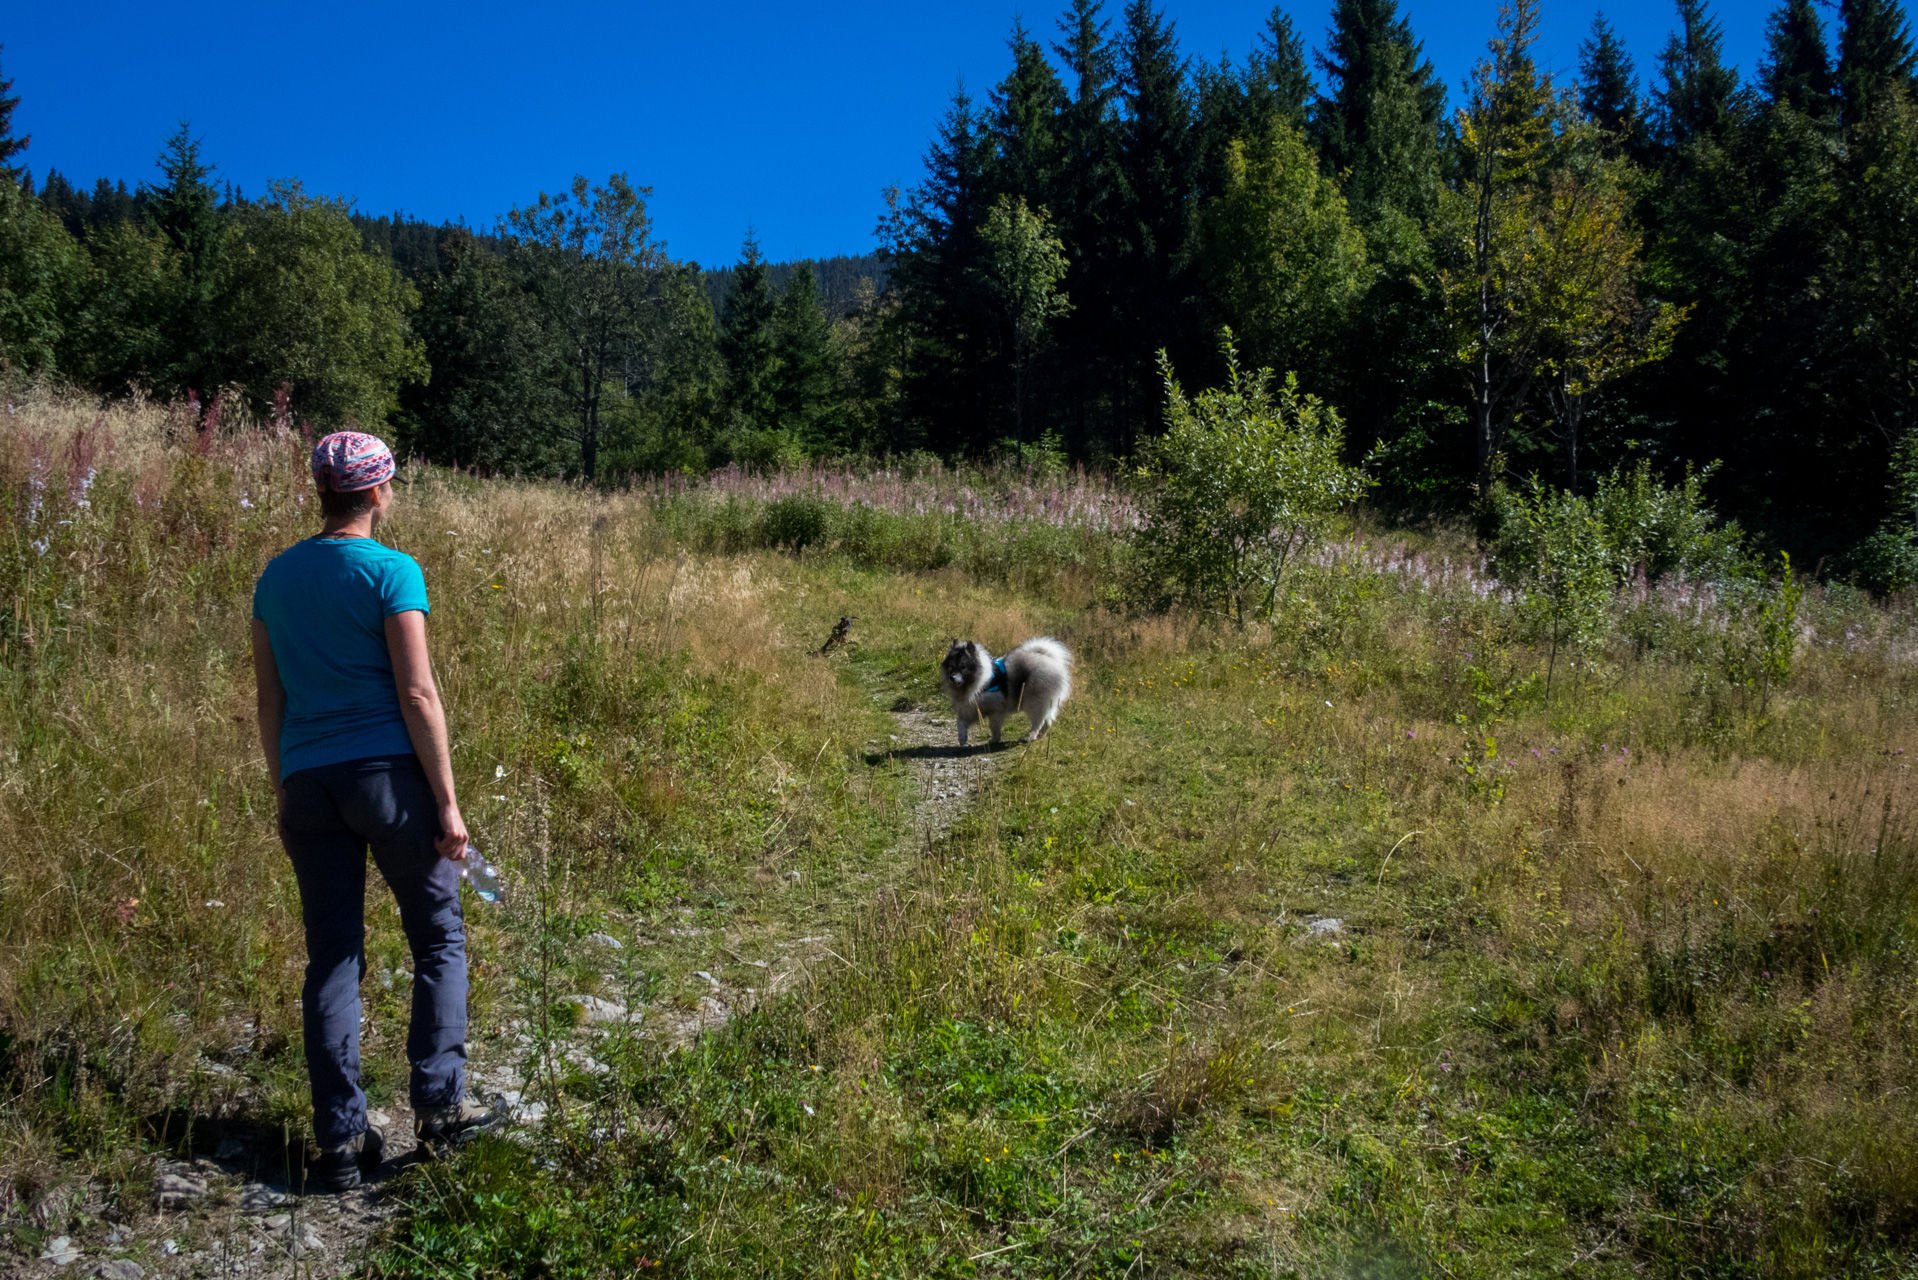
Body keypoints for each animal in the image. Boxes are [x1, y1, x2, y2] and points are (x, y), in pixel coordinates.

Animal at [935, 637, 1074, 744]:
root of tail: (1050, 660)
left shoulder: (995, 710)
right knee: (1048, 721)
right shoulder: (970, 708)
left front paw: (994, 739)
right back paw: (1039, 736)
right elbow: (960, 723)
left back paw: (1029, 737)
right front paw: (962, 738)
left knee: (1038, 722)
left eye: (963, 667)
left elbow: (994, 726)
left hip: (1033, 702)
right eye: (951, 666)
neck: (982, 681)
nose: (952, 678)